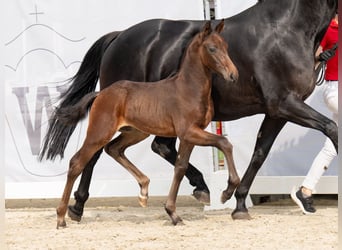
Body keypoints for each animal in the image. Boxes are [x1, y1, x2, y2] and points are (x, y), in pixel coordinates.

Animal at [55, 20, 238, 229]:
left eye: (226, 47)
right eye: (212, 48)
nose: (233, 75)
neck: (188, 88)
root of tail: (100, 94)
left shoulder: (189, 135)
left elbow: (180, 167)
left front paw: (173, 213)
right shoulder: (189, 132)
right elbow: (224, 143)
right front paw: (226, 192)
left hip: (136, 132)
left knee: (114, 149)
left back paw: (143, 191)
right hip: (99, 133)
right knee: (77, 162)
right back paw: (61, 217)